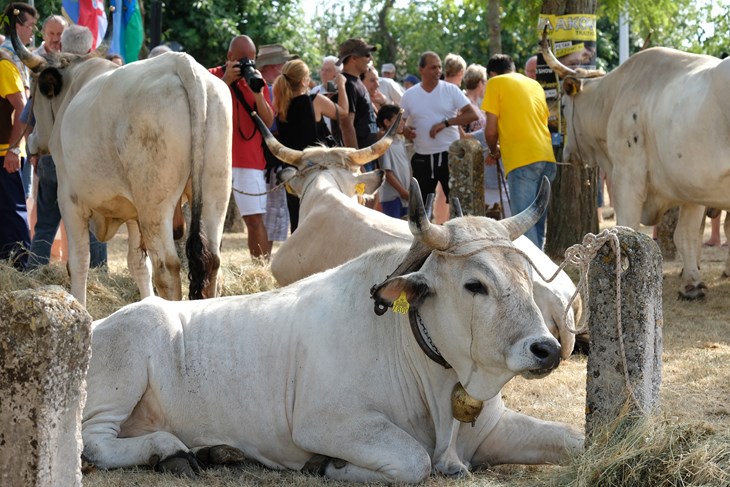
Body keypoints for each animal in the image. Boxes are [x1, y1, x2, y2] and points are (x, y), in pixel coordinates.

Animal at [12, 13, 230, 306]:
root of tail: (181, 63)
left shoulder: (70, 200)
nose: (32, 140)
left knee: (167, 267)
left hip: (155, 204)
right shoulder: (132, 211)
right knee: (211, 261)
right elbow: (138, 264)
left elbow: (79, 262)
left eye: (33, 93)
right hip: (214, 194)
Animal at [82, 178, 580, 480]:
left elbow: (572, 438)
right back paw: (166, 449)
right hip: (123, 372)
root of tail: (100, 321)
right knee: (94, 443)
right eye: (474, 284)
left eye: (527, 275)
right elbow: (414, 461)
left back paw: (212, 451)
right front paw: (329, 466)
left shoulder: (492, 428)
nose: (546, 348)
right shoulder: (326, 424)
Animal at [536, 32, 728, 300]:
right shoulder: (694, 188)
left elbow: (625, 229)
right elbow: (686, 235)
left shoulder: (627, 179)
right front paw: (692, 284)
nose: (564, 151)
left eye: (562, 107)